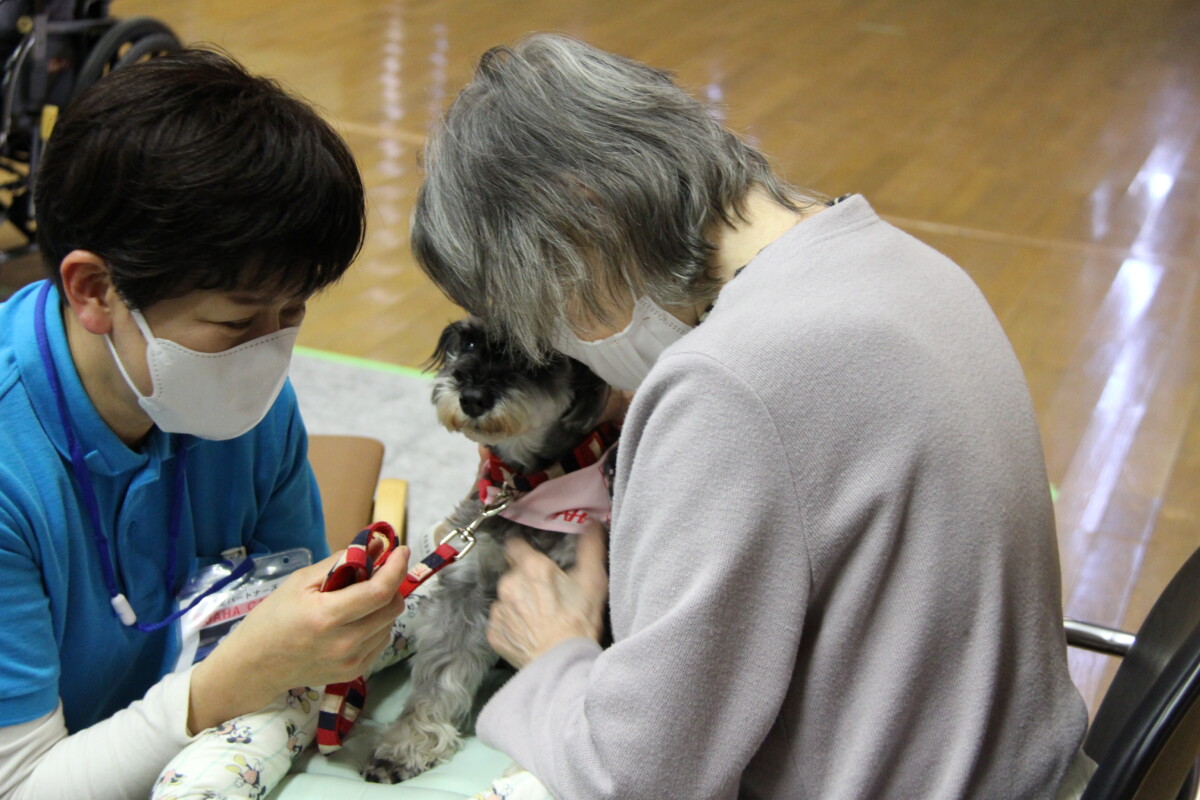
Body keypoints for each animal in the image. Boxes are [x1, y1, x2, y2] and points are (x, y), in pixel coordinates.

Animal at [363, 317, 615, 783]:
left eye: (537, 356)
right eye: (470, 341)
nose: (473, 397)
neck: (525, 487)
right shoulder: (465, 589)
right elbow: (441, 671)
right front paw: (408, 744)